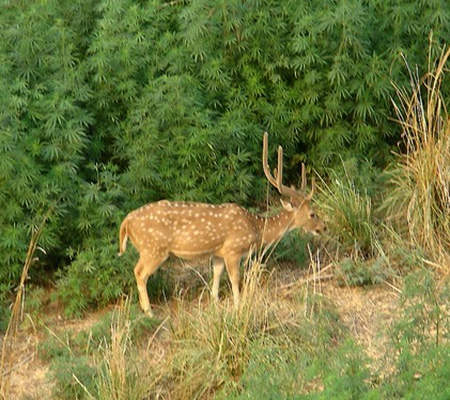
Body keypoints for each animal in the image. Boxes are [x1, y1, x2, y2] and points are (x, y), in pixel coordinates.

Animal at [118, 133, 326, 318]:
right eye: (312, 213)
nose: (324, 227)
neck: (256, 229)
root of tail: (126, 222)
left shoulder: (218, 253)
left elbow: (216, 275)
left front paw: (215, 302)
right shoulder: (233, 250)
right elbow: (235, 279)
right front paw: (238, 306)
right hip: (153, 249)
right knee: (139, 272)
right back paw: (149, 312)